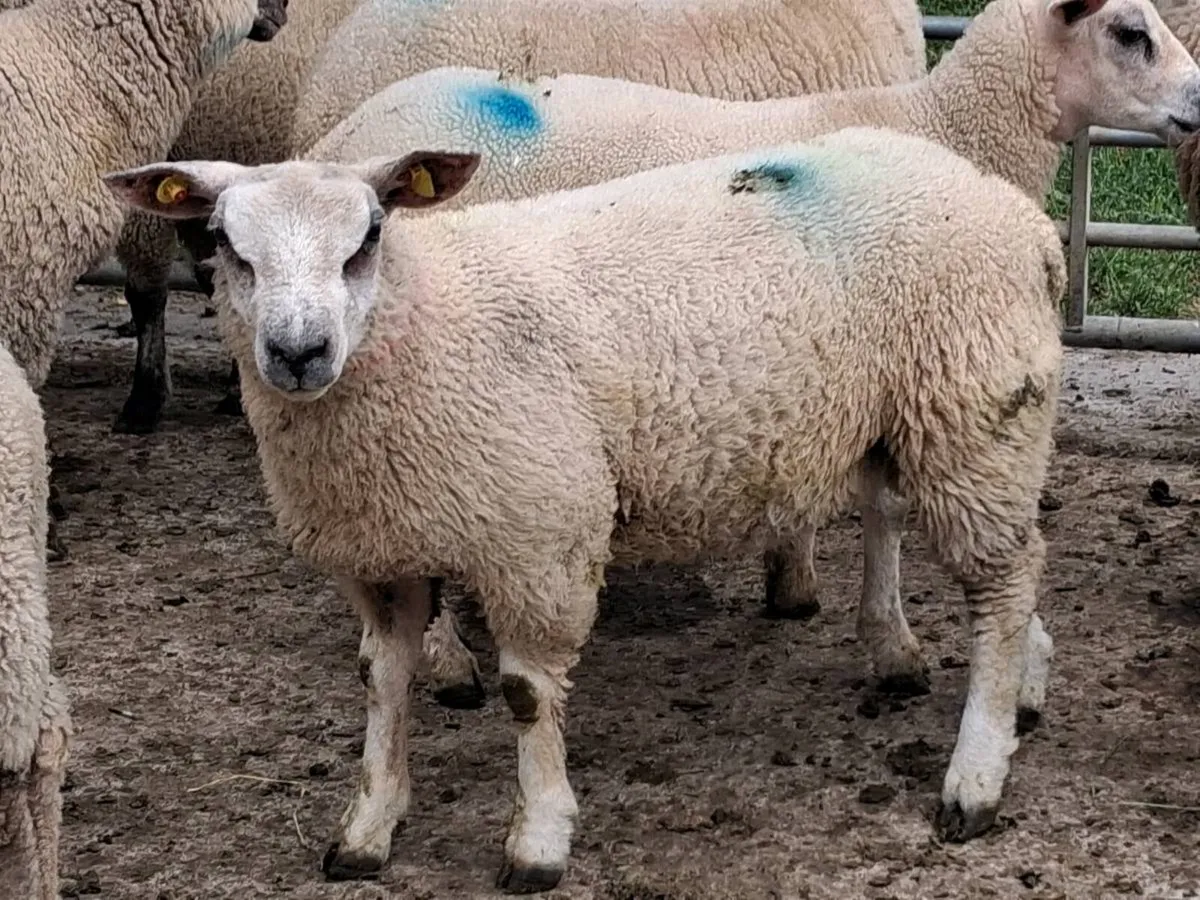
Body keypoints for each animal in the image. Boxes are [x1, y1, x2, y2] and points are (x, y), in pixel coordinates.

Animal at [106, 124, 1066, 889]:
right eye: (224, 242)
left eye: (369, 236)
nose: (297, 352)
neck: (426, 323)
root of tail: (1020, 215)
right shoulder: (379, 552)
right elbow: (381, 682)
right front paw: (367, 829)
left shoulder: (537, 535)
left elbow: (528, 696)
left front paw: (537, 842)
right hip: (903, 420)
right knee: (990, 562)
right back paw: (1019, 688)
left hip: (974, 408)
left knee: (1004, 580)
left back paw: (975, 775)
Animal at [313, 0, 1200, 704]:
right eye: (1130, 32)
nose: (1199, 103)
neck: (944, 124)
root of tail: (342, 134)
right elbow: (880, 508)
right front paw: (866, 625)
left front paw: (809, 589)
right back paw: (446, 663)